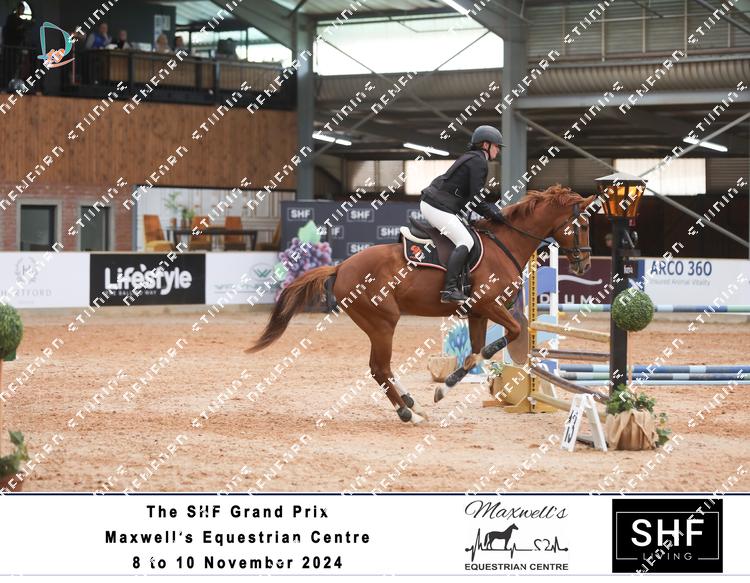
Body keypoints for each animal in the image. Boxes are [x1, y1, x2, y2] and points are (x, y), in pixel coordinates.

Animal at [246, 185, 595, 425]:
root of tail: (341, 266)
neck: (504, 244)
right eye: (583, 225)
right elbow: (509, 335)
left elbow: (475, 353)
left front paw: (445, 388)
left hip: (378, 324)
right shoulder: (489, 305)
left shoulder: (478, 313)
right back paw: (407, 413)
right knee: (379, 368)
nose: (585, 264)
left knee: (383, 368)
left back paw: (413, 404)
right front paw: (445, 388)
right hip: (383, 322)